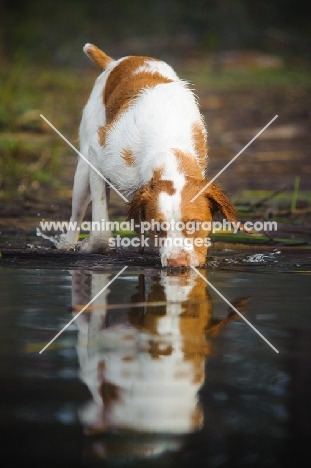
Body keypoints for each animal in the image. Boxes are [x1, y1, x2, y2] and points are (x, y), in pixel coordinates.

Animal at [56, 44, 243, 266]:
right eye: (157, 229)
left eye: (195, 225)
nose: (178, 263)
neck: (167, 146)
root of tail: (117, 62)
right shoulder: (97, 156)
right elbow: (101, 231)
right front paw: (89, 246)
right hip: (83, 170)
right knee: (76, 215)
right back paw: (67, 243)